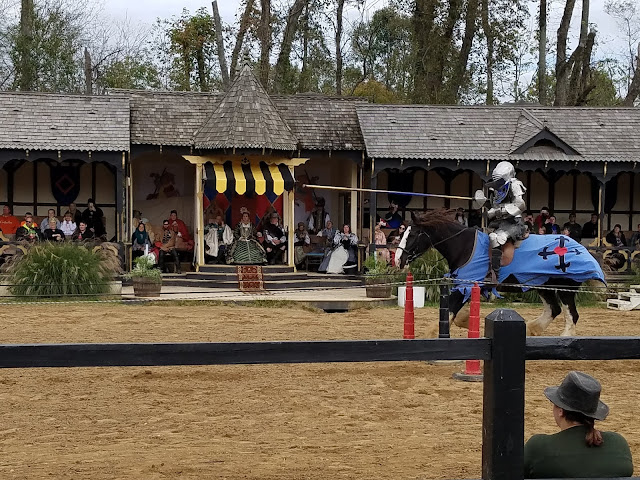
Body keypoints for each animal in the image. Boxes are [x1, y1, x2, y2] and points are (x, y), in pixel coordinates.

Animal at [394, 210, 606, 336]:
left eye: (413, 234)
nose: (397, 260)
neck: (464, 246)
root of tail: (581, 249)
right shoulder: (465, 287)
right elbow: (457, 315)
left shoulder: (465, 287)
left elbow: (449, 314)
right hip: (542, 285)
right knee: (554, 310)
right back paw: (532, 329)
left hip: (564, 288)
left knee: (571, 314)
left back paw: (564, 338)